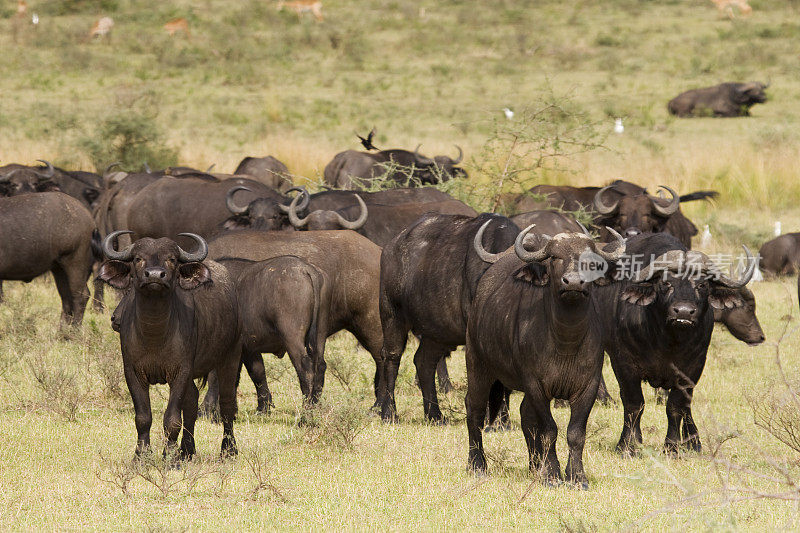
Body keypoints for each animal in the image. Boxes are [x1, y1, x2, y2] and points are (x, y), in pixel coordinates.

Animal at [99, 231, 241, 460]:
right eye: (137, 259)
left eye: (172, 259)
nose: (155, 275)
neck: (155, 334)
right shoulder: (133, 372)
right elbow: (143, 417)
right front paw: (141, 456)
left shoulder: (181, 371)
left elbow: (172, 418)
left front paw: (170, 458)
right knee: (192, 403)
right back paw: (187, 450)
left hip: (231, 356)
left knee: (227, 405)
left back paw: (228, 450)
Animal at [376, 212, 516, 420]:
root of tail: (390, 247)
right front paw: (494, 419)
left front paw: (503, 420)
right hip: (392, 314)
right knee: (391, 356)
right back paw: (389, 412)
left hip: (437, 332)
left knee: (424, 361)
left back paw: (435, 415)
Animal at [466, 222, 628, 484]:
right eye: (555, 258)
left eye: (591, 261)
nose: (573, 283)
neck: (566, 342)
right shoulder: (535, 384)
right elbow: (549, 430)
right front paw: (552, 473)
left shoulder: (589, 386)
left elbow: (575, 432)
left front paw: (576, 476)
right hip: (477, 363)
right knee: (475, 410)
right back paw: (477, 464)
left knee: (525, 415)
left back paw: (534, 466)